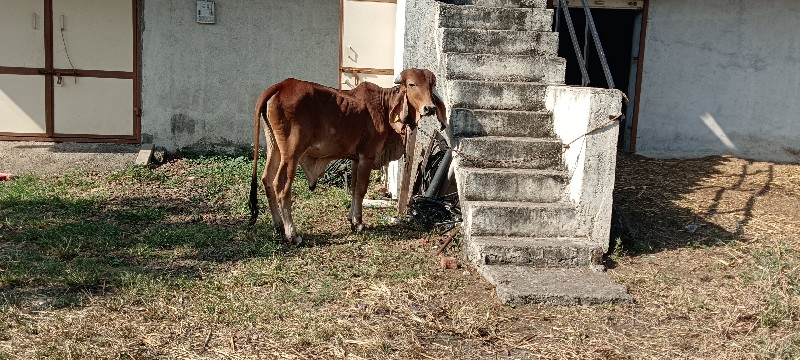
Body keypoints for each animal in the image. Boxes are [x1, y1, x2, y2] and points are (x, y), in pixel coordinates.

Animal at [247, 68, 446, 245]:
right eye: (412, 84)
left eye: (432, 85)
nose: (429, 108)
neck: (384, 106)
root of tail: (281, 86)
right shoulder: (367, 157)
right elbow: (361, 190)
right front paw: (359, 223)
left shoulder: (356, 159)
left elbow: (353, 188)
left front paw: (351, 220)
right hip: (291, 153)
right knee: (281, 188)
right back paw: (292, 234)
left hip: (274, 147)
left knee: (266, 180)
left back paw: (278, 227)